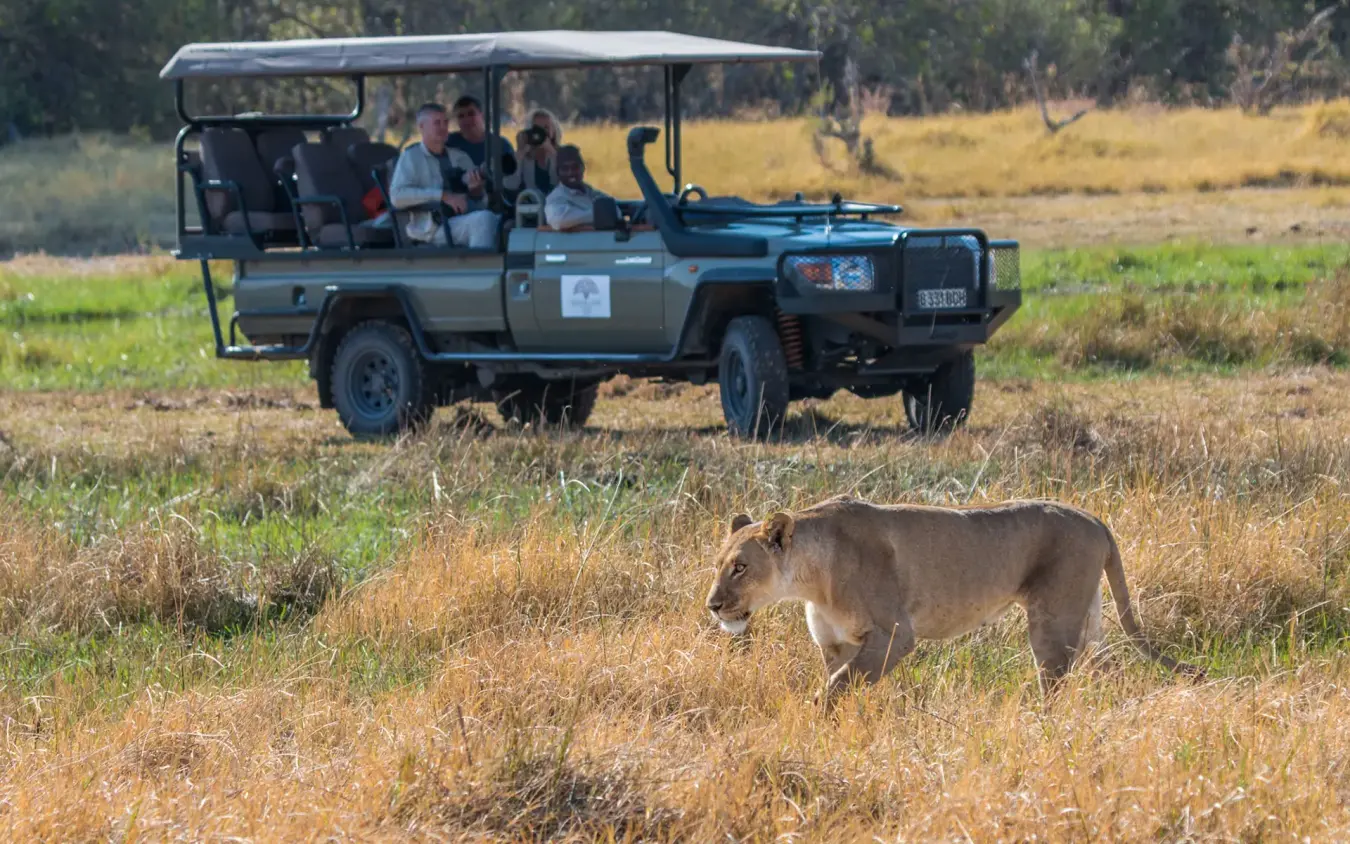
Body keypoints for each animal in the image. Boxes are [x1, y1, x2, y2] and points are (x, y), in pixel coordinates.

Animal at [704, 494, 1205, 707]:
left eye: (741, 567)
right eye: (718, 563)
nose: (712, 605)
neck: (810, 579)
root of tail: (1094, 518)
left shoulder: (894, 635)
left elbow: (839, 686)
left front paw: (814, 716)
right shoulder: (836, 644)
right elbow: (843, 682)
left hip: (1052, 620)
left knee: (1056, 680)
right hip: (1088, 617)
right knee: (1104, 666)